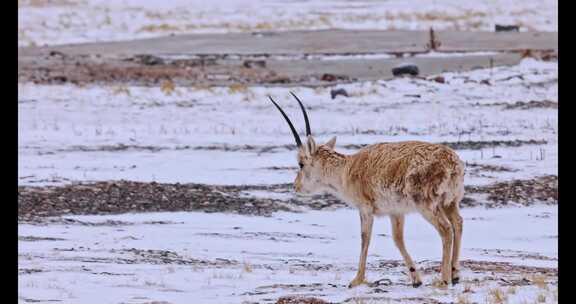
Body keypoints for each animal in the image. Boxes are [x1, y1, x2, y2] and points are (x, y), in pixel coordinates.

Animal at [268, 92, 464, 288]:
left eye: (301, 163)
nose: (296, 186)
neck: (345, 170)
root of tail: (452, 163)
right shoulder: (396, 211)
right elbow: (397, 239)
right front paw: (415, 278)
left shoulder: (365, 208)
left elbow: (365, 238)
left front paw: (356, 280)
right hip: (450, 202)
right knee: (458, 223)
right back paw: (455, 274)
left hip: (426, 205)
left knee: (446, 229)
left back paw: (444, 279)